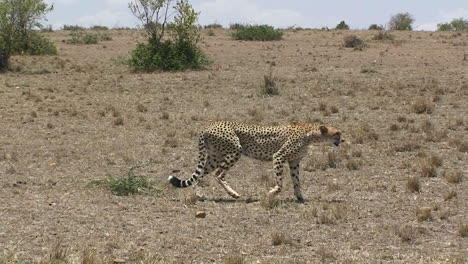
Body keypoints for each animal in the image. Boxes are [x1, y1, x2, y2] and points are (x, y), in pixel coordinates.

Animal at [168, 121, 344, 202]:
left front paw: (300, 197)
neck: (310, 134)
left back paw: (199, 194)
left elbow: (296, 181)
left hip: (214, 156)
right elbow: (280, 183)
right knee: (218, 174)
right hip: (235, 150)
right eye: (337, 133)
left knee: (201, 175)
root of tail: (209, 125)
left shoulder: (294, 161)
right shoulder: (279, 156)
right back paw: (233, 194)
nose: (343, 140)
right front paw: (271, 193)